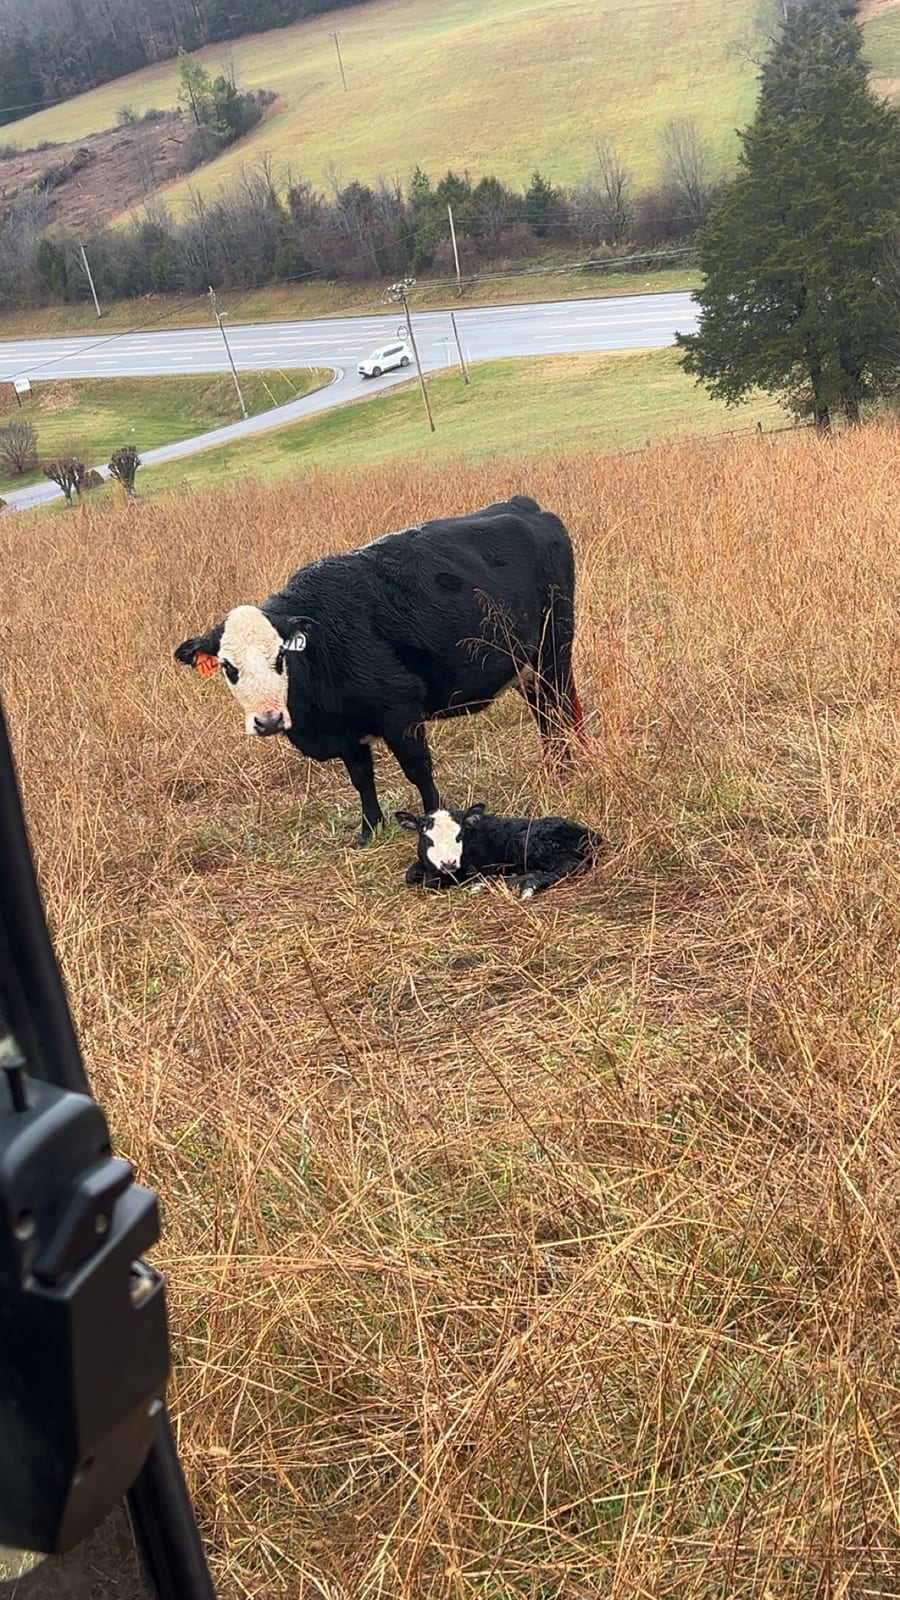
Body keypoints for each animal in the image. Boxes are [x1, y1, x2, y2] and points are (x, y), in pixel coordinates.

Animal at [173, 495, 585, 845]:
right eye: (228, 666)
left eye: (280, 656)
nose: (268, 720)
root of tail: (523, 505)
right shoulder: (347, 733)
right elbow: (361, 778)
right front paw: (369, 829)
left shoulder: (400, 709)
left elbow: (418, 769)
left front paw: (433, 818)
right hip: (527, 666)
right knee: (547, 712)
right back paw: (557, 763)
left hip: (553, 651)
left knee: (558, 707)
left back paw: (566, 765)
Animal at [396, 803, 608, 898]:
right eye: (427, 838)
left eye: (460, 836)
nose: (449, 863)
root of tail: (592, 835)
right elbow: (410, 875)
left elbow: (433, 882)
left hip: (528, 842)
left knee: (569, 866)